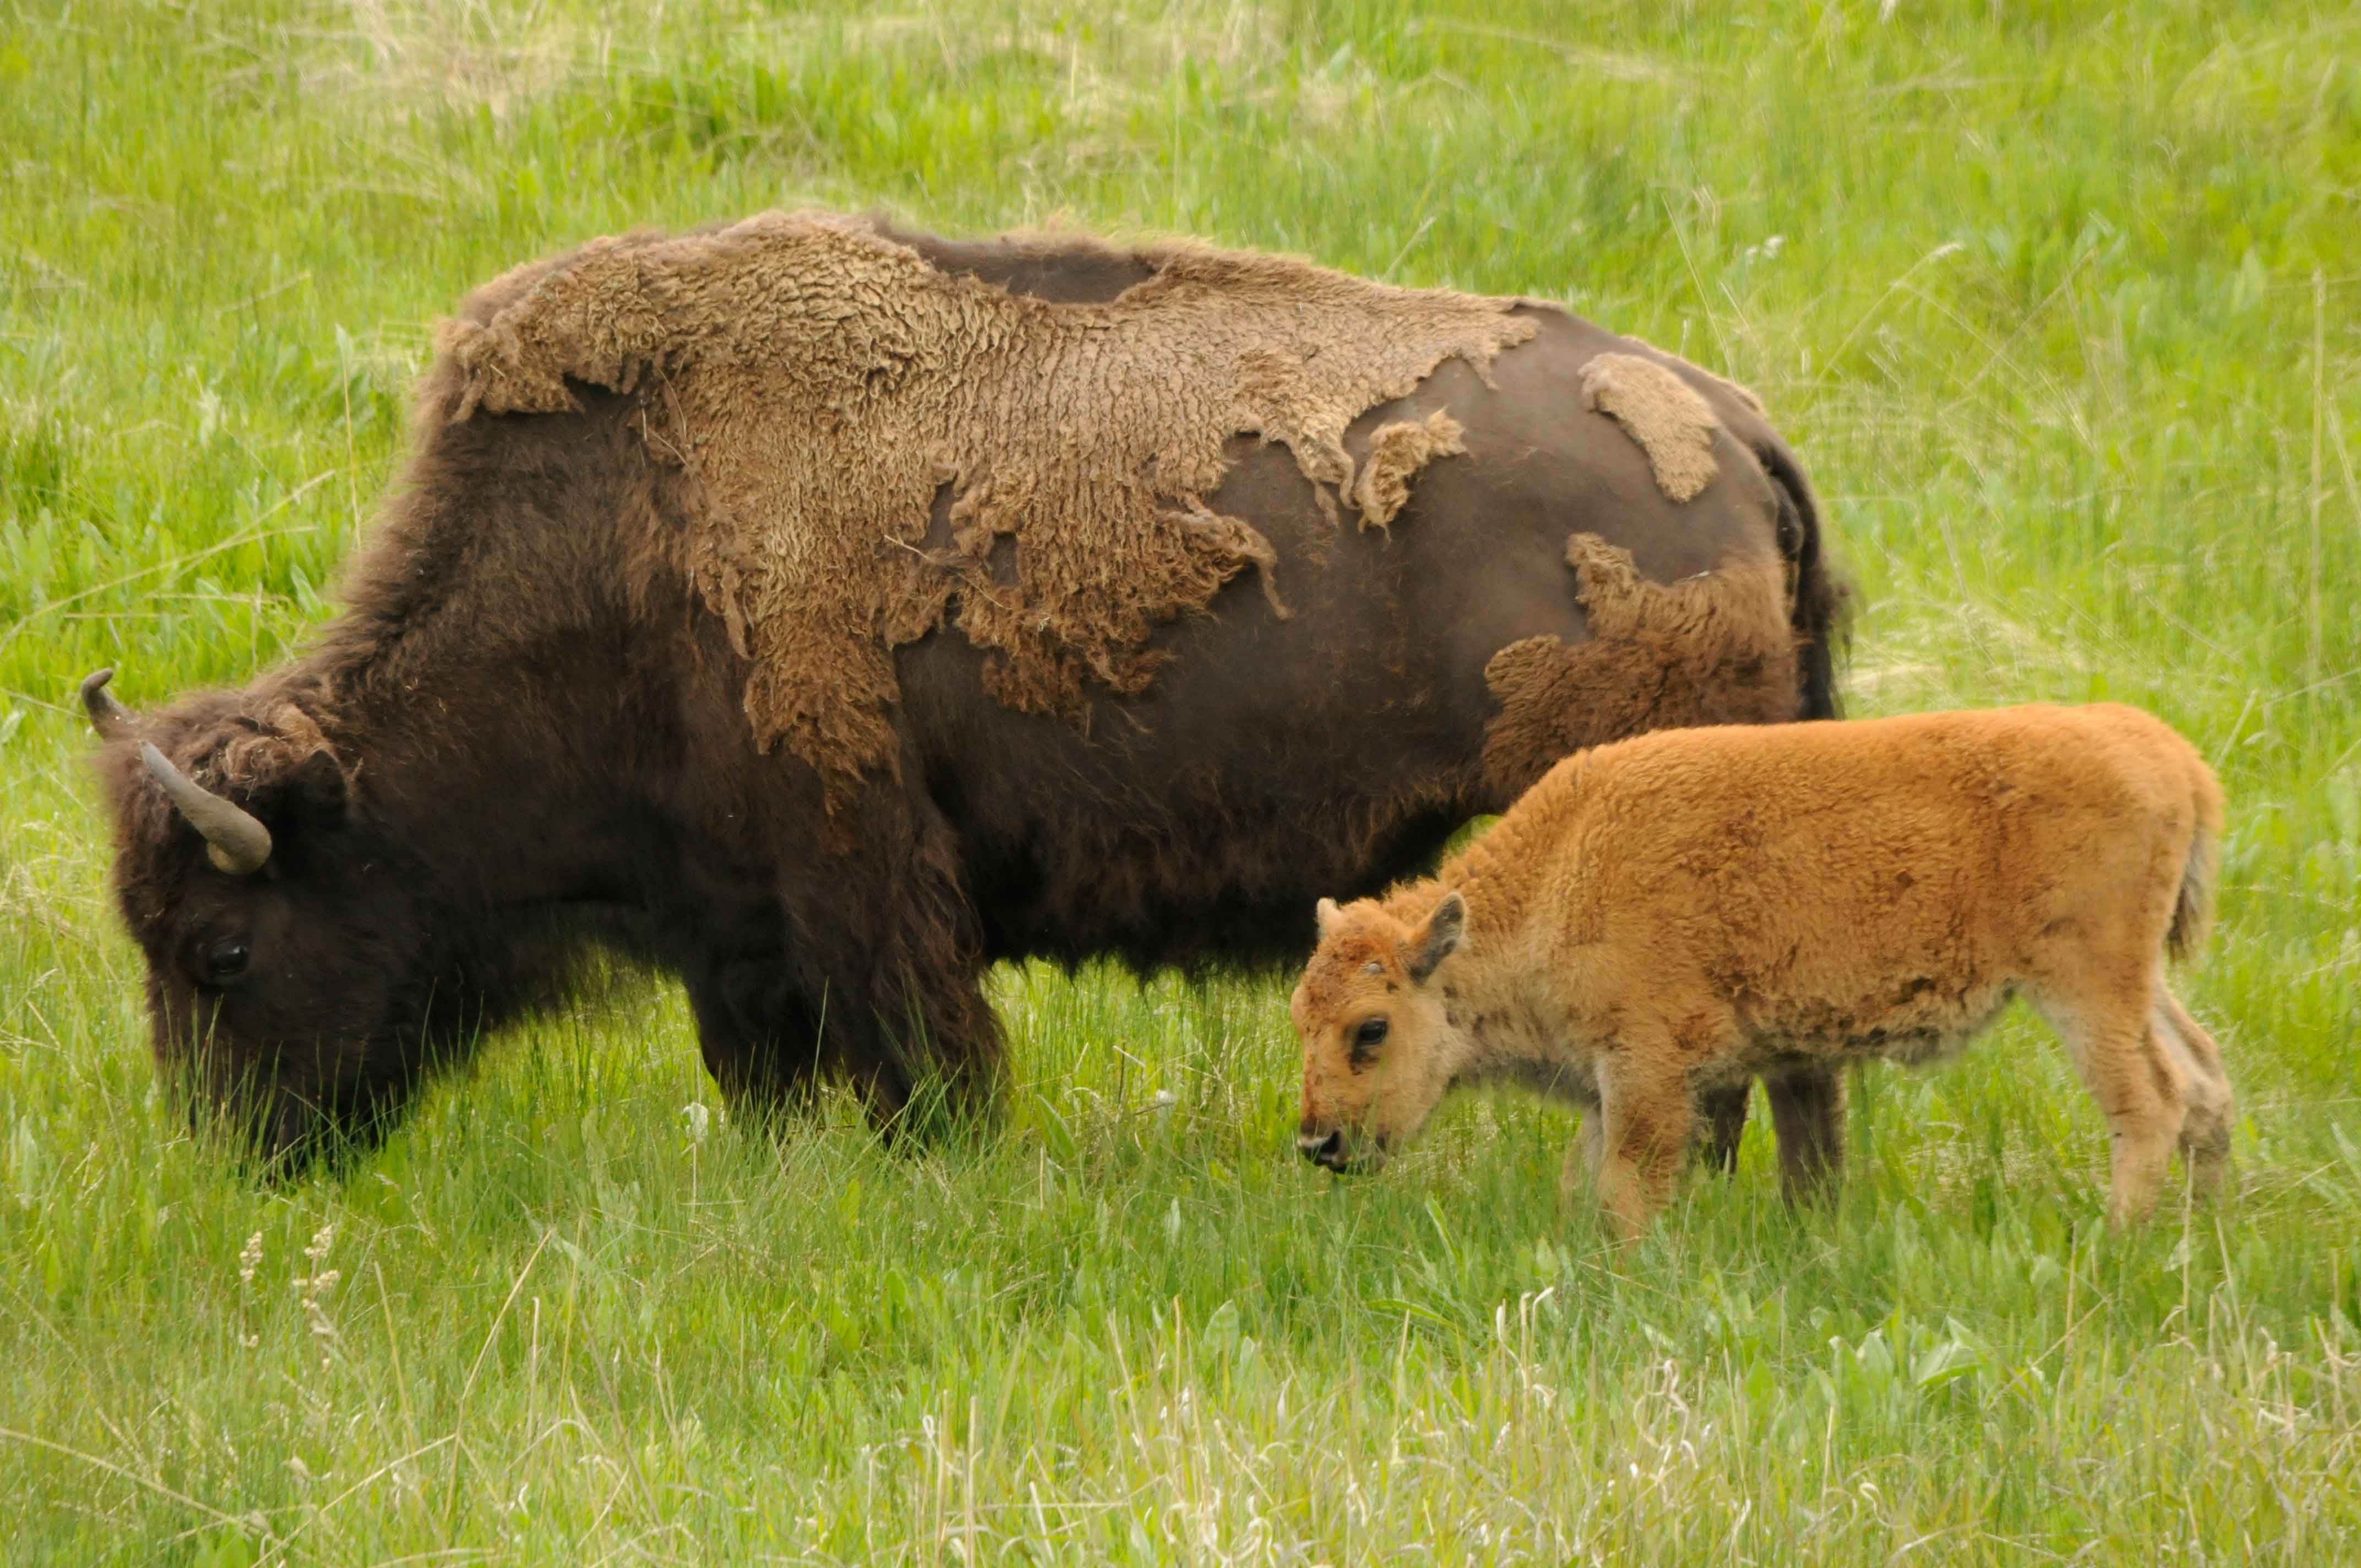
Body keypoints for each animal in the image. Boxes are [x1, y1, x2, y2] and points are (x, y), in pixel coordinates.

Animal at [83, 208, 1841, 1171]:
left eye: (223, 946)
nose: (230, 1153)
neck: (617, 544)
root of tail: (1732, 424)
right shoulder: (736, 930)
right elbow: (772, 1077)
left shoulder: (861, 879)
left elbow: (927, 1064)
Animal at [1293, 708, 2228, 1237]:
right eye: (1302, 1016)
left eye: (1371, 1028)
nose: (1318, 1143)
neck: (1560, 871)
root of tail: (2177, 758)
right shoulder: (1612, 1080)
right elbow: (1583, 1180)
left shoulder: (1648, 1068)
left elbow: (1626, 1185)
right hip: (2141, 982)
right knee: (2206, 1079)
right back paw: (2198, 1237)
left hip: (2083, 984)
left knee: (2151, 1102)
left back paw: (2116, 1244)